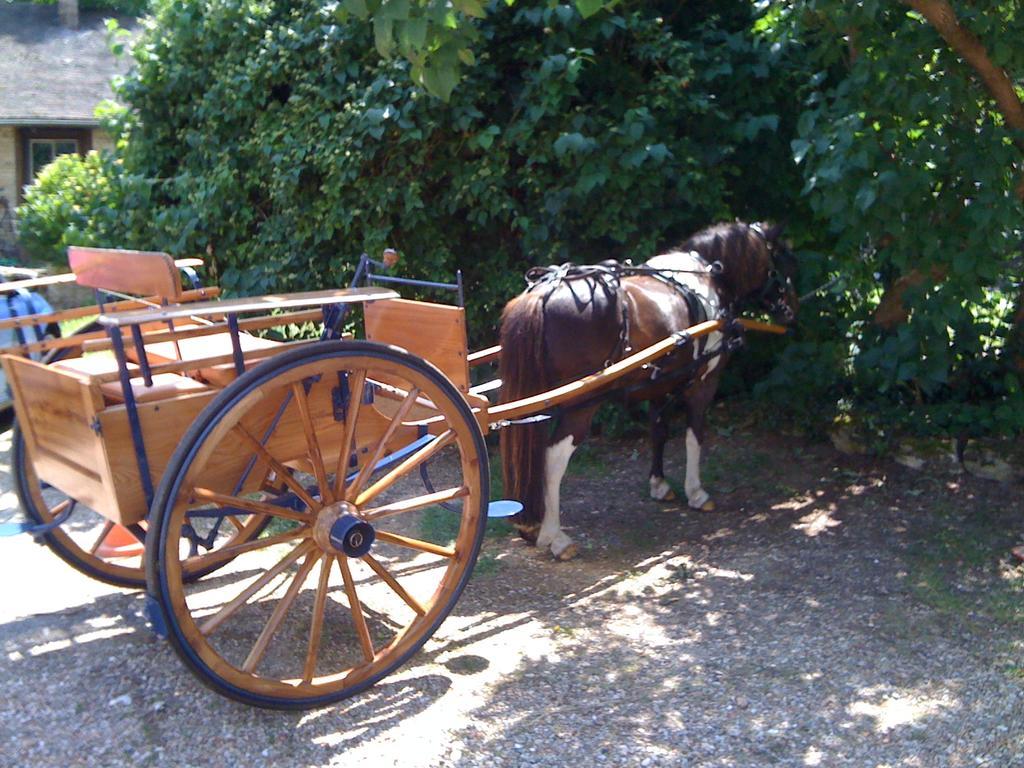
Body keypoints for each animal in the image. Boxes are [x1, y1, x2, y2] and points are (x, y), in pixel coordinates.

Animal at [499, 222, 794, 561]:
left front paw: (659, 485)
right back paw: (554, 537)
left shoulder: (659, 383)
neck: (706, 274)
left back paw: (531, 526)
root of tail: (543, 294)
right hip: (581, 405)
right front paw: (696, 492)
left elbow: (659, 430)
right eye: (780, 260)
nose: (791, 310)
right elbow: (695, 435)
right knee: (553, 458)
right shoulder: (705, 382)